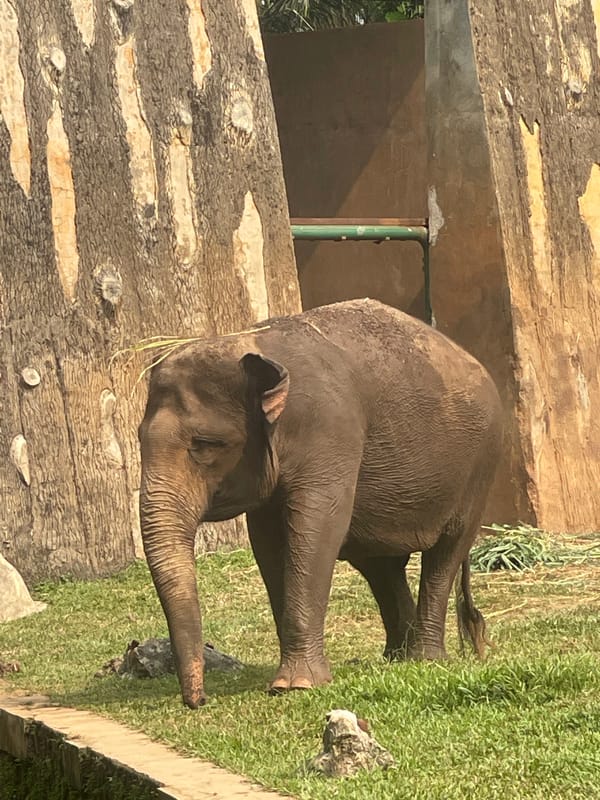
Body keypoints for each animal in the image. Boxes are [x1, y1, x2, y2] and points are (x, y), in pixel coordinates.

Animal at [138, 298, 503, 708]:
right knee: (381, 566)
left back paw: (425, 659)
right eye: (139, 439)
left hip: (480, 468)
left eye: (205, 444)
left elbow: (316, 530)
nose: (199, 699)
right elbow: (269, 544)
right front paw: (290, 680)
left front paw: (295, 686)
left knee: (445, 554)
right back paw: (398, 658)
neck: (251, 343)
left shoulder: (329, 431)